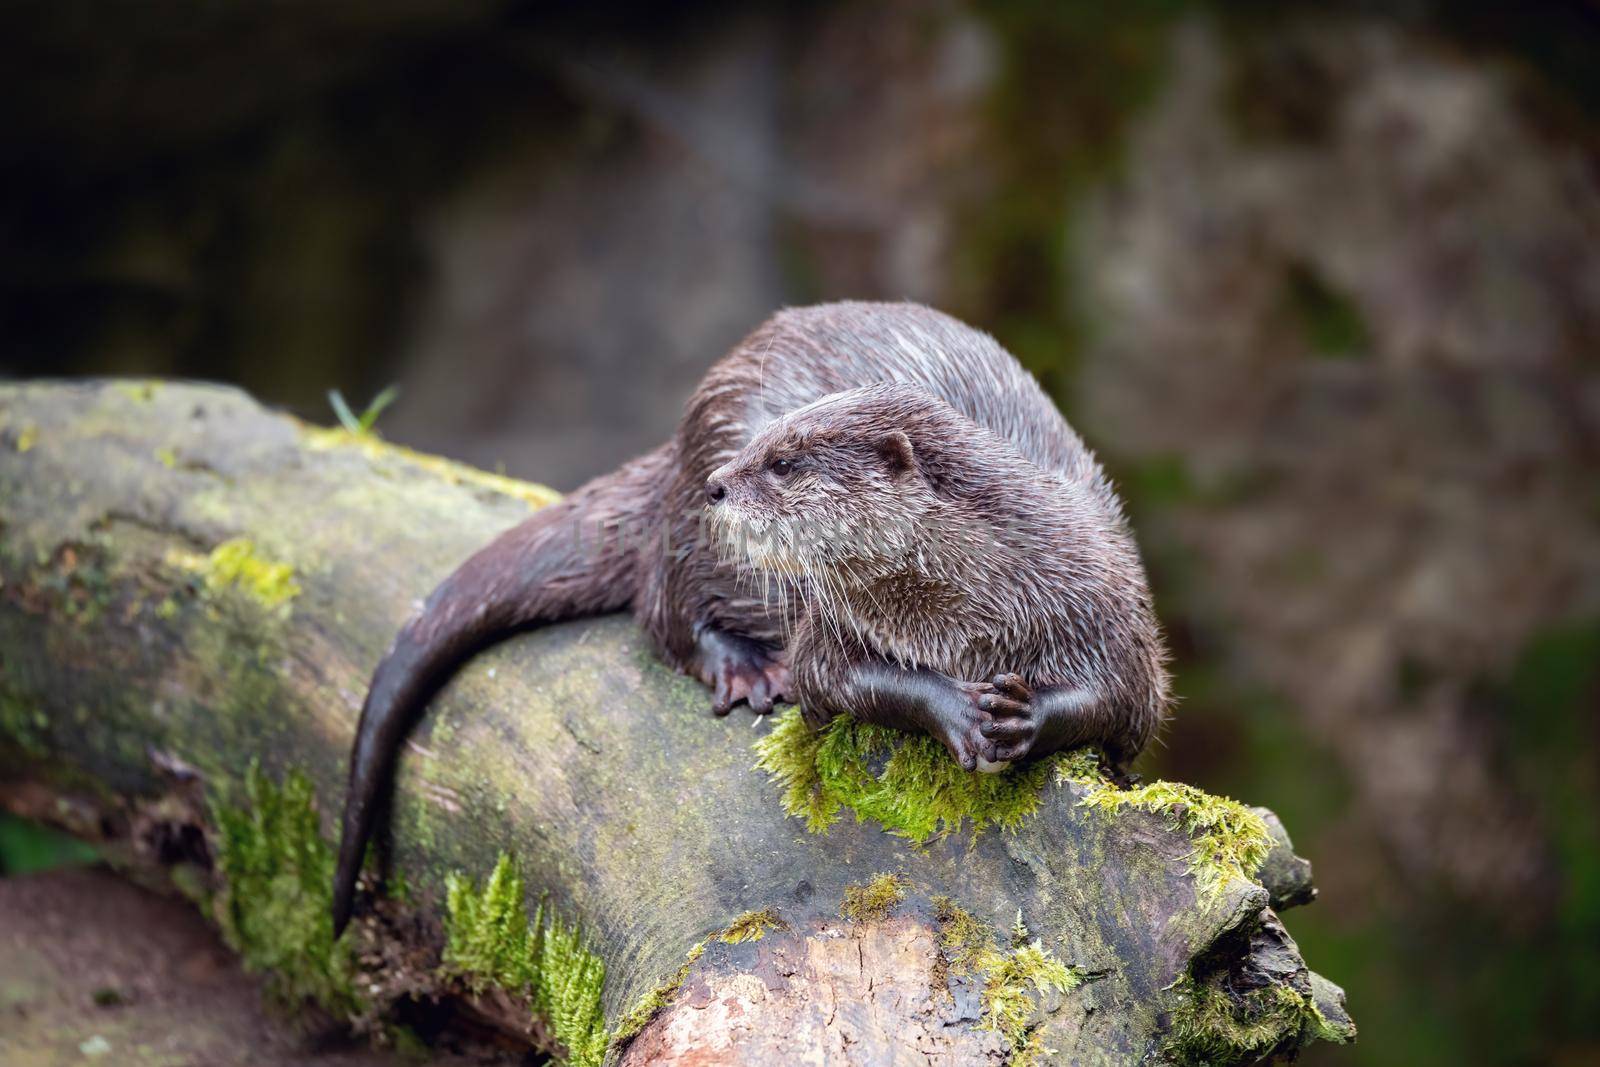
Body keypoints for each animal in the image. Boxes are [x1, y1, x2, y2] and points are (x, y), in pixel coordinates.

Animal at [331, 300, 1171, 934]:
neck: (965, 612)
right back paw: (745, 668)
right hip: (699, 534)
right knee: (661, 604)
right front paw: (958, 712)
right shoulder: (834, 625)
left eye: (787, 461)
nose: (719, 483)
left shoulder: (1107, 601)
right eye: (766, 441)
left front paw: (1027, 716)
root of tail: (679, 451)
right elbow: (832, 677)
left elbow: (1126, 697)